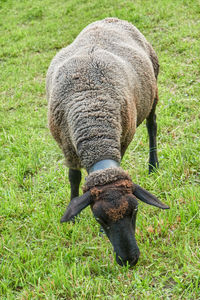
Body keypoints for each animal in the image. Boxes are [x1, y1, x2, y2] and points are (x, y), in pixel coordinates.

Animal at [46, 18, 169, 268]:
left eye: (135, 210)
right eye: (98, 218)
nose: (129, 260)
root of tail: (109, 19)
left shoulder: (122, 139)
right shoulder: (67, 147)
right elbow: (73, 179)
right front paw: (73, 214)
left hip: (153, 90)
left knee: (152, 125)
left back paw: (153, 164)